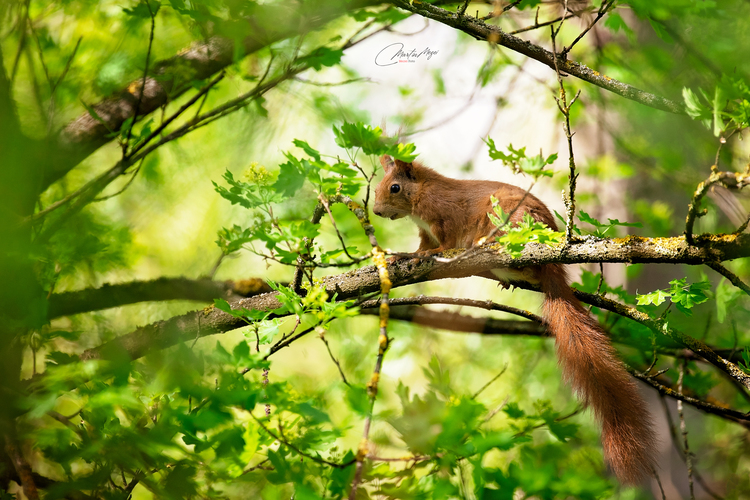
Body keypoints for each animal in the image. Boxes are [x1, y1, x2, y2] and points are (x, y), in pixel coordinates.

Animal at [374, 155, 656, 484]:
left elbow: (442, 245)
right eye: (377, 186)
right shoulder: (425, 231)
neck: (421, 194)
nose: (377, 211)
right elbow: (421, 246)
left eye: (394, 187)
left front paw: (424, 256)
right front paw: (402, 256)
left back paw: (487, 244)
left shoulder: (444, 217)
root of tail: (551, 261)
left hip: (509, 217)